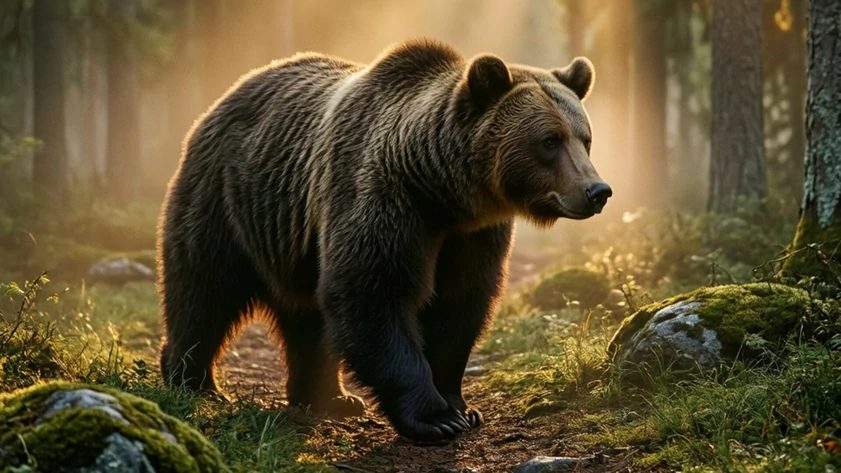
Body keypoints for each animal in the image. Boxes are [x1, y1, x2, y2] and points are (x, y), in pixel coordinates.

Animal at [157, 39, 611, 443]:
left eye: (585, 138)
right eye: (549, 140)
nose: (597, 191)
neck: (442, 192)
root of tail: (229, 93)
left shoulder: (472, 235)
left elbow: (460, 304)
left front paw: (461, 407)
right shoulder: (383, 197)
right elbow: (373, 291)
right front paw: (434, 418)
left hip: (293, 237)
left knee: (306, 316)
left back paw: (330, 398)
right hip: (226, 198)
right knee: (203, 288)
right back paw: (193, 381)